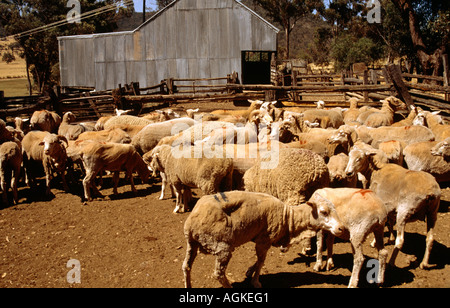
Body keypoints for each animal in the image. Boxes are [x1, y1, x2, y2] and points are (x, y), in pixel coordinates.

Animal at [183, 190, 344, 288]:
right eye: (323, 212)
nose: (341, 228)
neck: (288, 218)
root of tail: (191, 222)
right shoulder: (264, 240)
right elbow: (261, 262)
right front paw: (256, 281)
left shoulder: (262, 240)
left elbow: (259, 261)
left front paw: (249, 272)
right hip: (222, 247)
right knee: (218, 273)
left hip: (192, 243)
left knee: (186, 266)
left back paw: (188, 285)